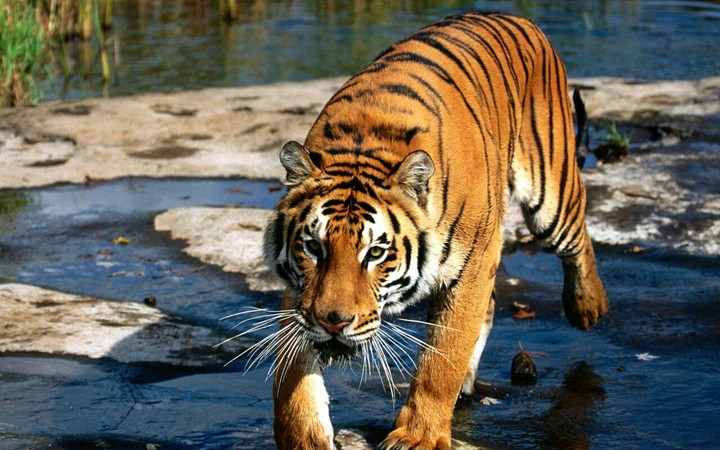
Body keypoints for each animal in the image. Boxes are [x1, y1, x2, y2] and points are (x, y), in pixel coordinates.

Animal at [262, 11, 608, 450]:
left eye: (375, 253)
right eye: (313, 247)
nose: (333, 323)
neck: (365, 145)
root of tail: (517, 17)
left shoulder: (474, 263)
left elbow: (442, 357)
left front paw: (417, 436)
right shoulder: (301, 293)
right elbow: (293, 376)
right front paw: (305, 437)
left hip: (550, 191)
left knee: (577, 236)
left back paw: (588, 305)